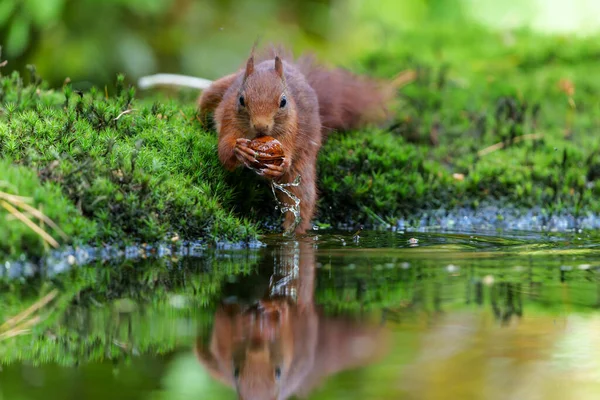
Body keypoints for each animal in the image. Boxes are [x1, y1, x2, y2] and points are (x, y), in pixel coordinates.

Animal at [198, 47, 408, 234]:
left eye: (283, 102)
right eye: (241, 99)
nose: (261, 126)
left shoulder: (291, 129)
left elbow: (287, 154)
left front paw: (282, 164)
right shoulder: (229, 119)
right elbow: (224, 152)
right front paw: (239, 149)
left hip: (303, 168)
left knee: (303, 201)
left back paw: (293, 231)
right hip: (220, 86)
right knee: (206, 100)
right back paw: (197, 119)